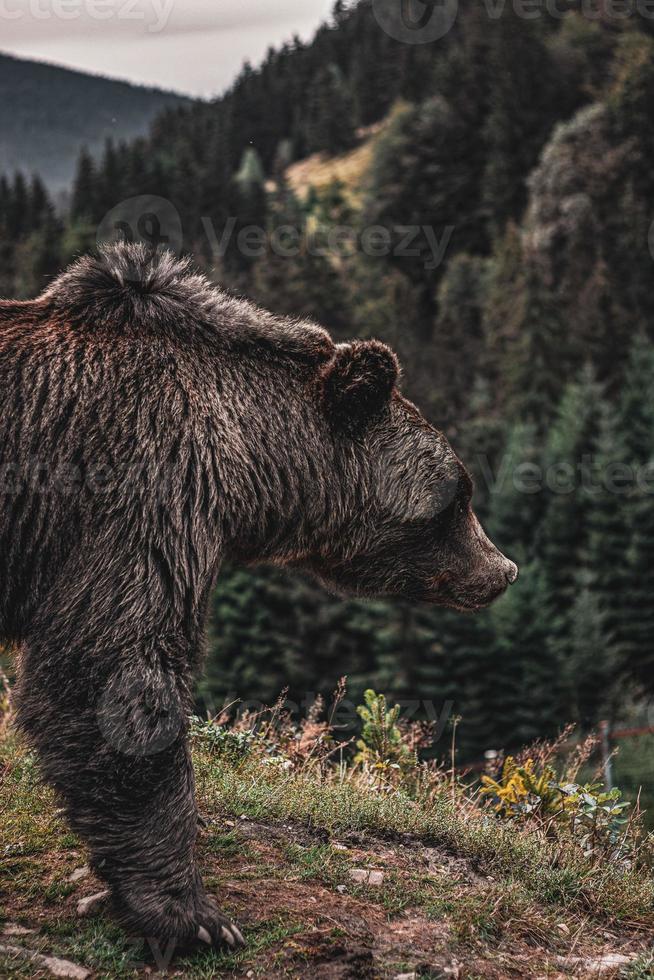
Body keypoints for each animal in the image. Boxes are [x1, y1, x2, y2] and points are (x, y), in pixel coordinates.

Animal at [0, 243, 516, 948]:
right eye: (457, 495)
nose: (504, 570)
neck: (249, 465)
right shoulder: (141, 495)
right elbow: (115, 670)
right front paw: (191, 913)